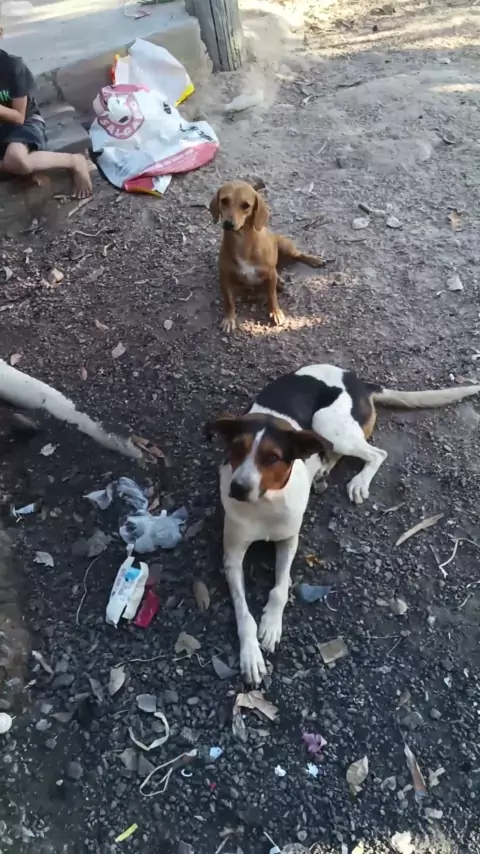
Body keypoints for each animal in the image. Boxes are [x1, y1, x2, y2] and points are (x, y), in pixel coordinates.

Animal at [208, 363, 480, 684]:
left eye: (272, 457)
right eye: (237, 450)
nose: (237, 489)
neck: (265, 503)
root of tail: (357, 381)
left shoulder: (289, 540)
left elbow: (280, 587)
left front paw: (272, 625)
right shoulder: (233, 556)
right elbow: (243, 611)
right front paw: (250, 653)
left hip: (329, 424)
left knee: (376, 453)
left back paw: (358, 481)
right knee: (332, 452)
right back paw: (322, 471)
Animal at [209, 180, 326, 333]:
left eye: (246, 205)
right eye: (224, 200)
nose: (228, 224)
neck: (242, 243)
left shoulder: (270, 275)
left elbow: (272, 296)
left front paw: (275, 312)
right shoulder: (225, 278)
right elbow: (228, 301)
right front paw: (229, 318)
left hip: (288, 248)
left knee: (299, 255)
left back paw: (314, 260)